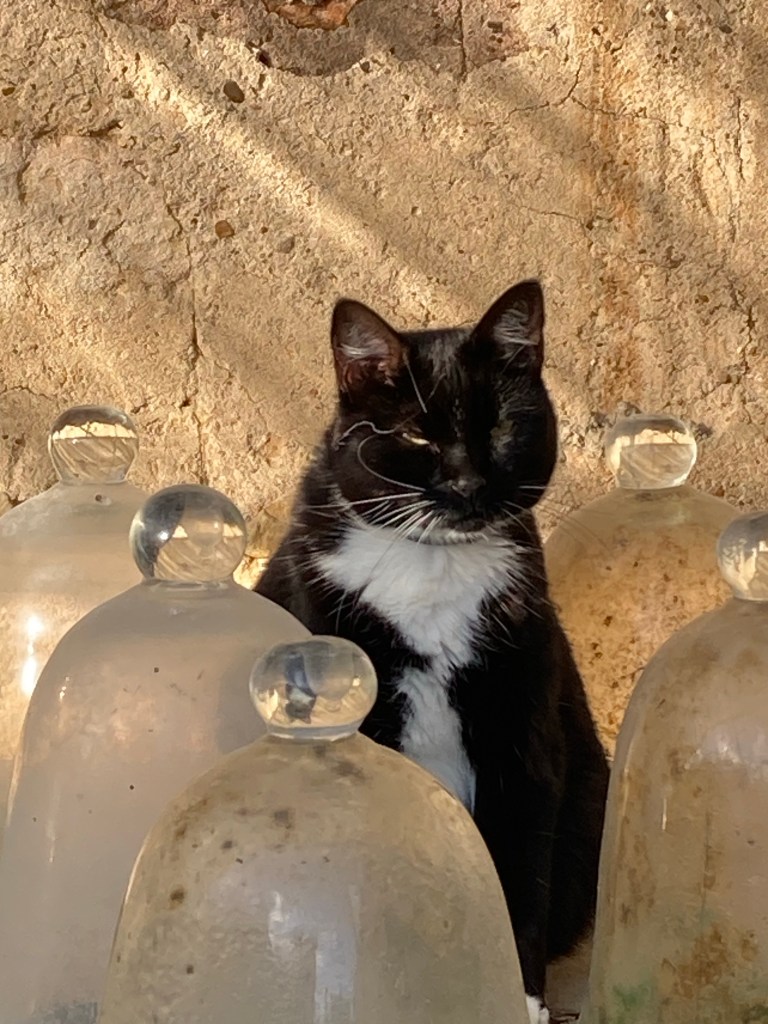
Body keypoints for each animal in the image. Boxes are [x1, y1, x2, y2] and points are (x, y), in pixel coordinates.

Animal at [256, 280, 609, 1023]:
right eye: (417, 434)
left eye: (501, 427)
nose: (470, 484)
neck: (432, 567)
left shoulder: (520, 728)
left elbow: (518, 872)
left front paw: (517, 996)